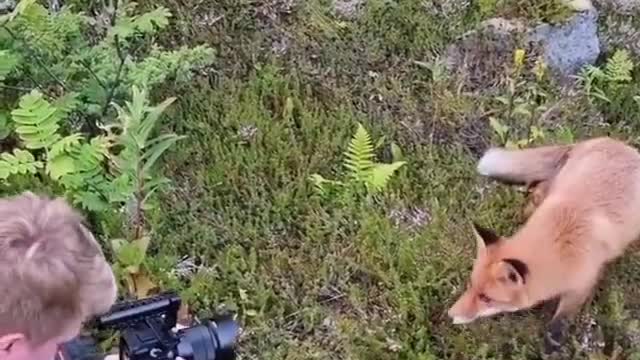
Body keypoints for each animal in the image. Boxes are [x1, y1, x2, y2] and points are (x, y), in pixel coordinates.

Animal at [448, 137, 640, 352]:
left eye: (486, 298)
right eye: (471, 285)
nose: (450, 314)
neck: (560, 243)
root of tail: (614, 141)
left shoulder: (585, 280)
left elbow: (564, 316)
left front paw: (553, 341)